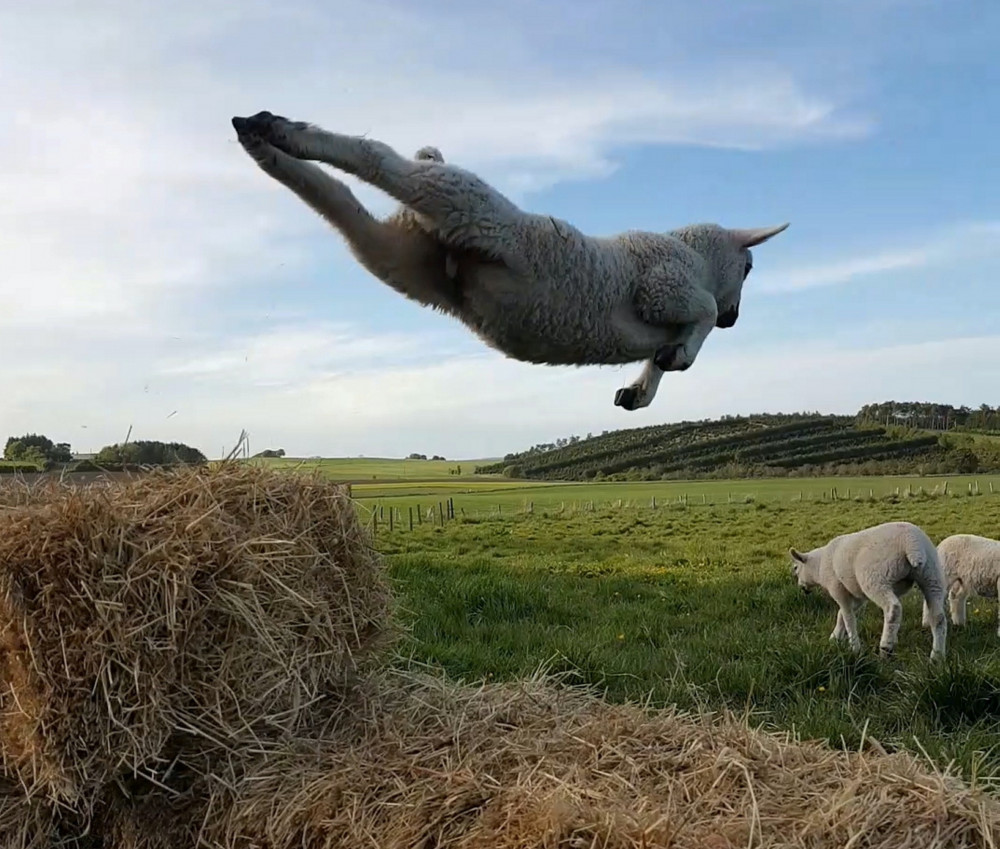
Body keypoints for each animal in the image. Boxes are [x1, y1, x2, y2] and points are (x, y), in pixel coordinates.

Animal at [230, 109, 784, 414]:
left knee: (338, 201)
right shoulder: (663, 285)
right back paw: (279, 129)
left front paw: (640, 390)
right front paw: (683, 354)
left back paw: (262, 143)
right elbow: (700, 313)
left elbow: (661, 357)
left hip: (395, 253)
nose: (735, 321)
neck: (697, 257)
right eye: (750, 269)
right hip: (469, 204)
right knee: (379, 159)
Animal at [788, 520, 944, 660]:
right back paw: (937, 656)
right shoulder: (858, 596)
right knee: (938, 616)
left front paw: (854, 647)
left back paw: (885, 648)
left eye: (796, 568)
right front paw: (835, 637)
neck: (819, 566)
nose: (802, 588)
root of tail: (911, 542)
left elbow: (848, 617)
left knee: (893, 608)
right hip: (931, 575)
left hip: (875, 578)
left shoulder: (838, 590)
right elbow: (841, 615)